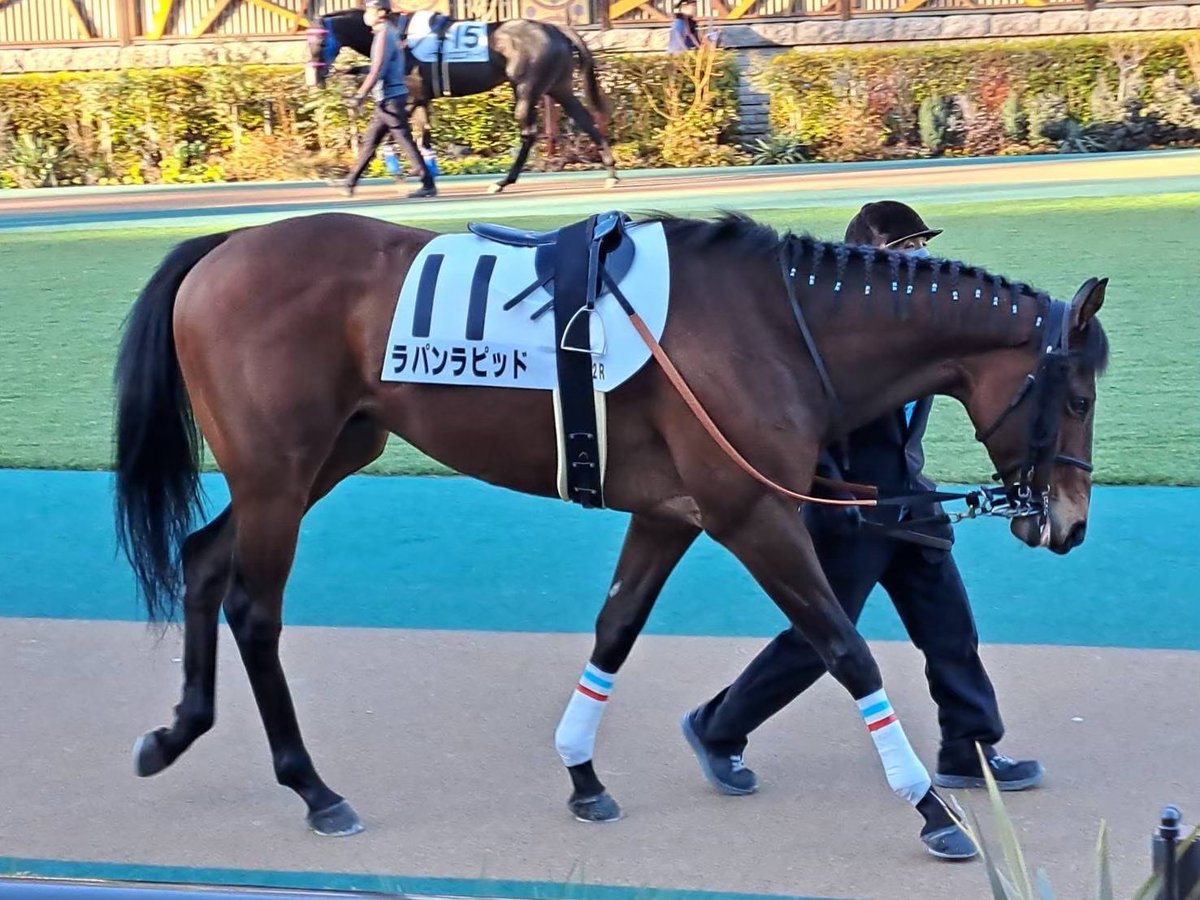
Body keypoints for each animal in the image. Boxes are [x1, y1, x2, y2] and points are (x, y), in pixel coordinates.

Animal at [114, 209, 1109, 860]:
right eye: (1079, 396)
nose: (1068, 523)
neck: (778, 324)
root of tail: (224, 245)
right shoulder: (752, 514)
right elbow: (844, 648)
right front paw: (933, 809)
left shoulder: (670, 512)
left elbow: (616, 629)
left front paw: (584, 776)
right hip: (279, 470)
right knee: (254, 608)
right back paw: (316, 791)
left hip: (329, 452)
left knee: (203, 561)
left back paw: (176, 732)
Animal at [305, 9, 618, 194]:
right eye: (307, 41)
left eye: (319, 42)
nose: (313, 78)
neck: (399, 37)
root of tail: (555, 29)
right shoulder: (420, 99)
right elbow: (420, 137)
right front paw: (423, 176)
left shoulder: (406, 98)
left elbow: (383, 136)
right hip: (558, 87)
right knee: (586, 121)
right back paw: (612, 171)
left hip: (526, 88)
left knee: (529, 132)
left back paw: (502, 181)